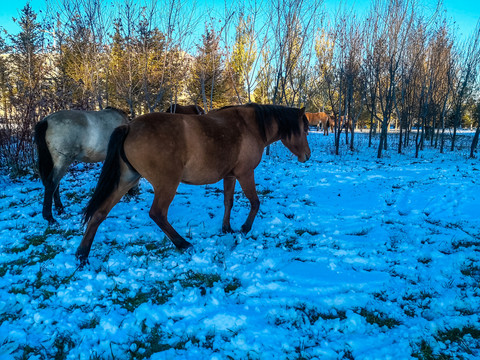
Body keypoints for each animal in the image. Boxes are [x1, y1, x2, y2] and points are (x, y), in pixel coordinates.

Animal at [76, 102, 310, 262]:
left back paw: (82, 254)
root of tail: (129, 127)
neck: (250, 126)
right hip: (167, 184)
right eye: (305, 129)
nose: (307, 155)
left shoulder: (230, 176)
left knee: (100, 213)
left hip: (126, 180)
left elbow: (228, 202)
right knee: (157, 214)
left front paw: (226, 228)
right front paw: (244, 228)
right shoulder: (245, 174)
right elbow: (255, 202)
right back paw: (183, 244)